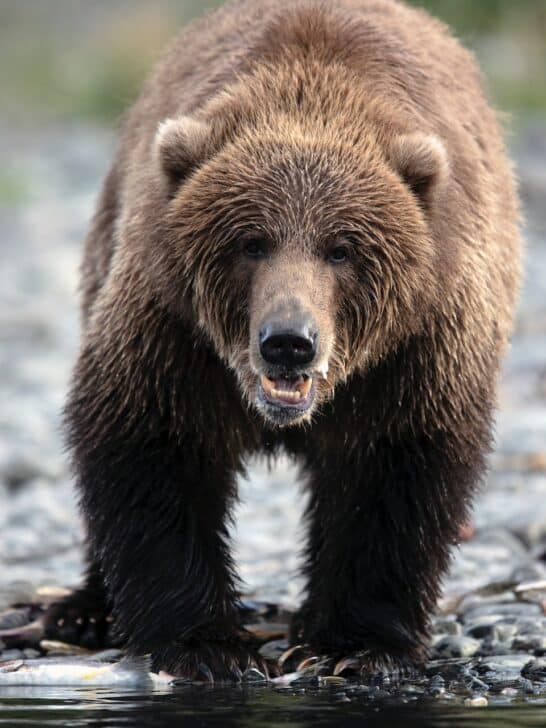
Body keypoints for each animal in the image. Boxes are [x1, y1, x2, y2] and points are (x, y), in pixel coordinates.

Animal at [45, 0, 521, 680]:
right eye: (251, 241)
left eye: (341, 248)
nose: (289, 341)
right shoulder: (173, 333)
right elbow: (149, 446)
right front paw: (204, 645)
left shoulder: (415, 351)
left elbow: (395, 475)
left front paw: (353, 647)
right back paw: (81, 610)